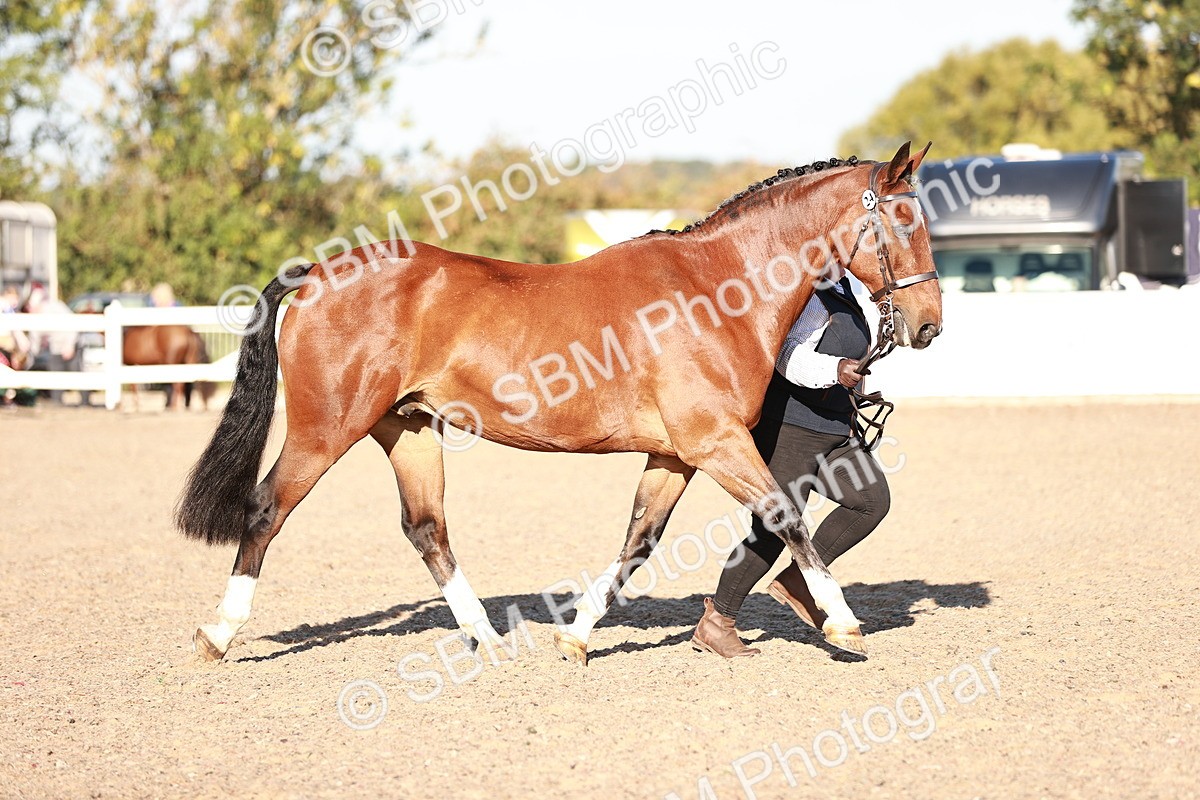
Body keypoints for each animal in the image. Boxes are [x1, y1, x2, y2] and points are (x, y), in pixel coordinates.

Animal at [176, 142, 942, 665]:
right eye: (904, 223)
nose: (929, 325)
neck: (716, 288)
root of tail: (318, 274)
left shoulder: (675, 455)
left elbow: (638, 541)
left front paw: (574, 636)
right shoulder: (715, 442)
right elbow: (787, 517)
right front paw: (842, 622)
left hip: (408, 429)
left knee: (427, 529)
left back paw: (486, 636)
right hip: (325, 427)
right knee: (267, 509)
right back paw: (216, 634)